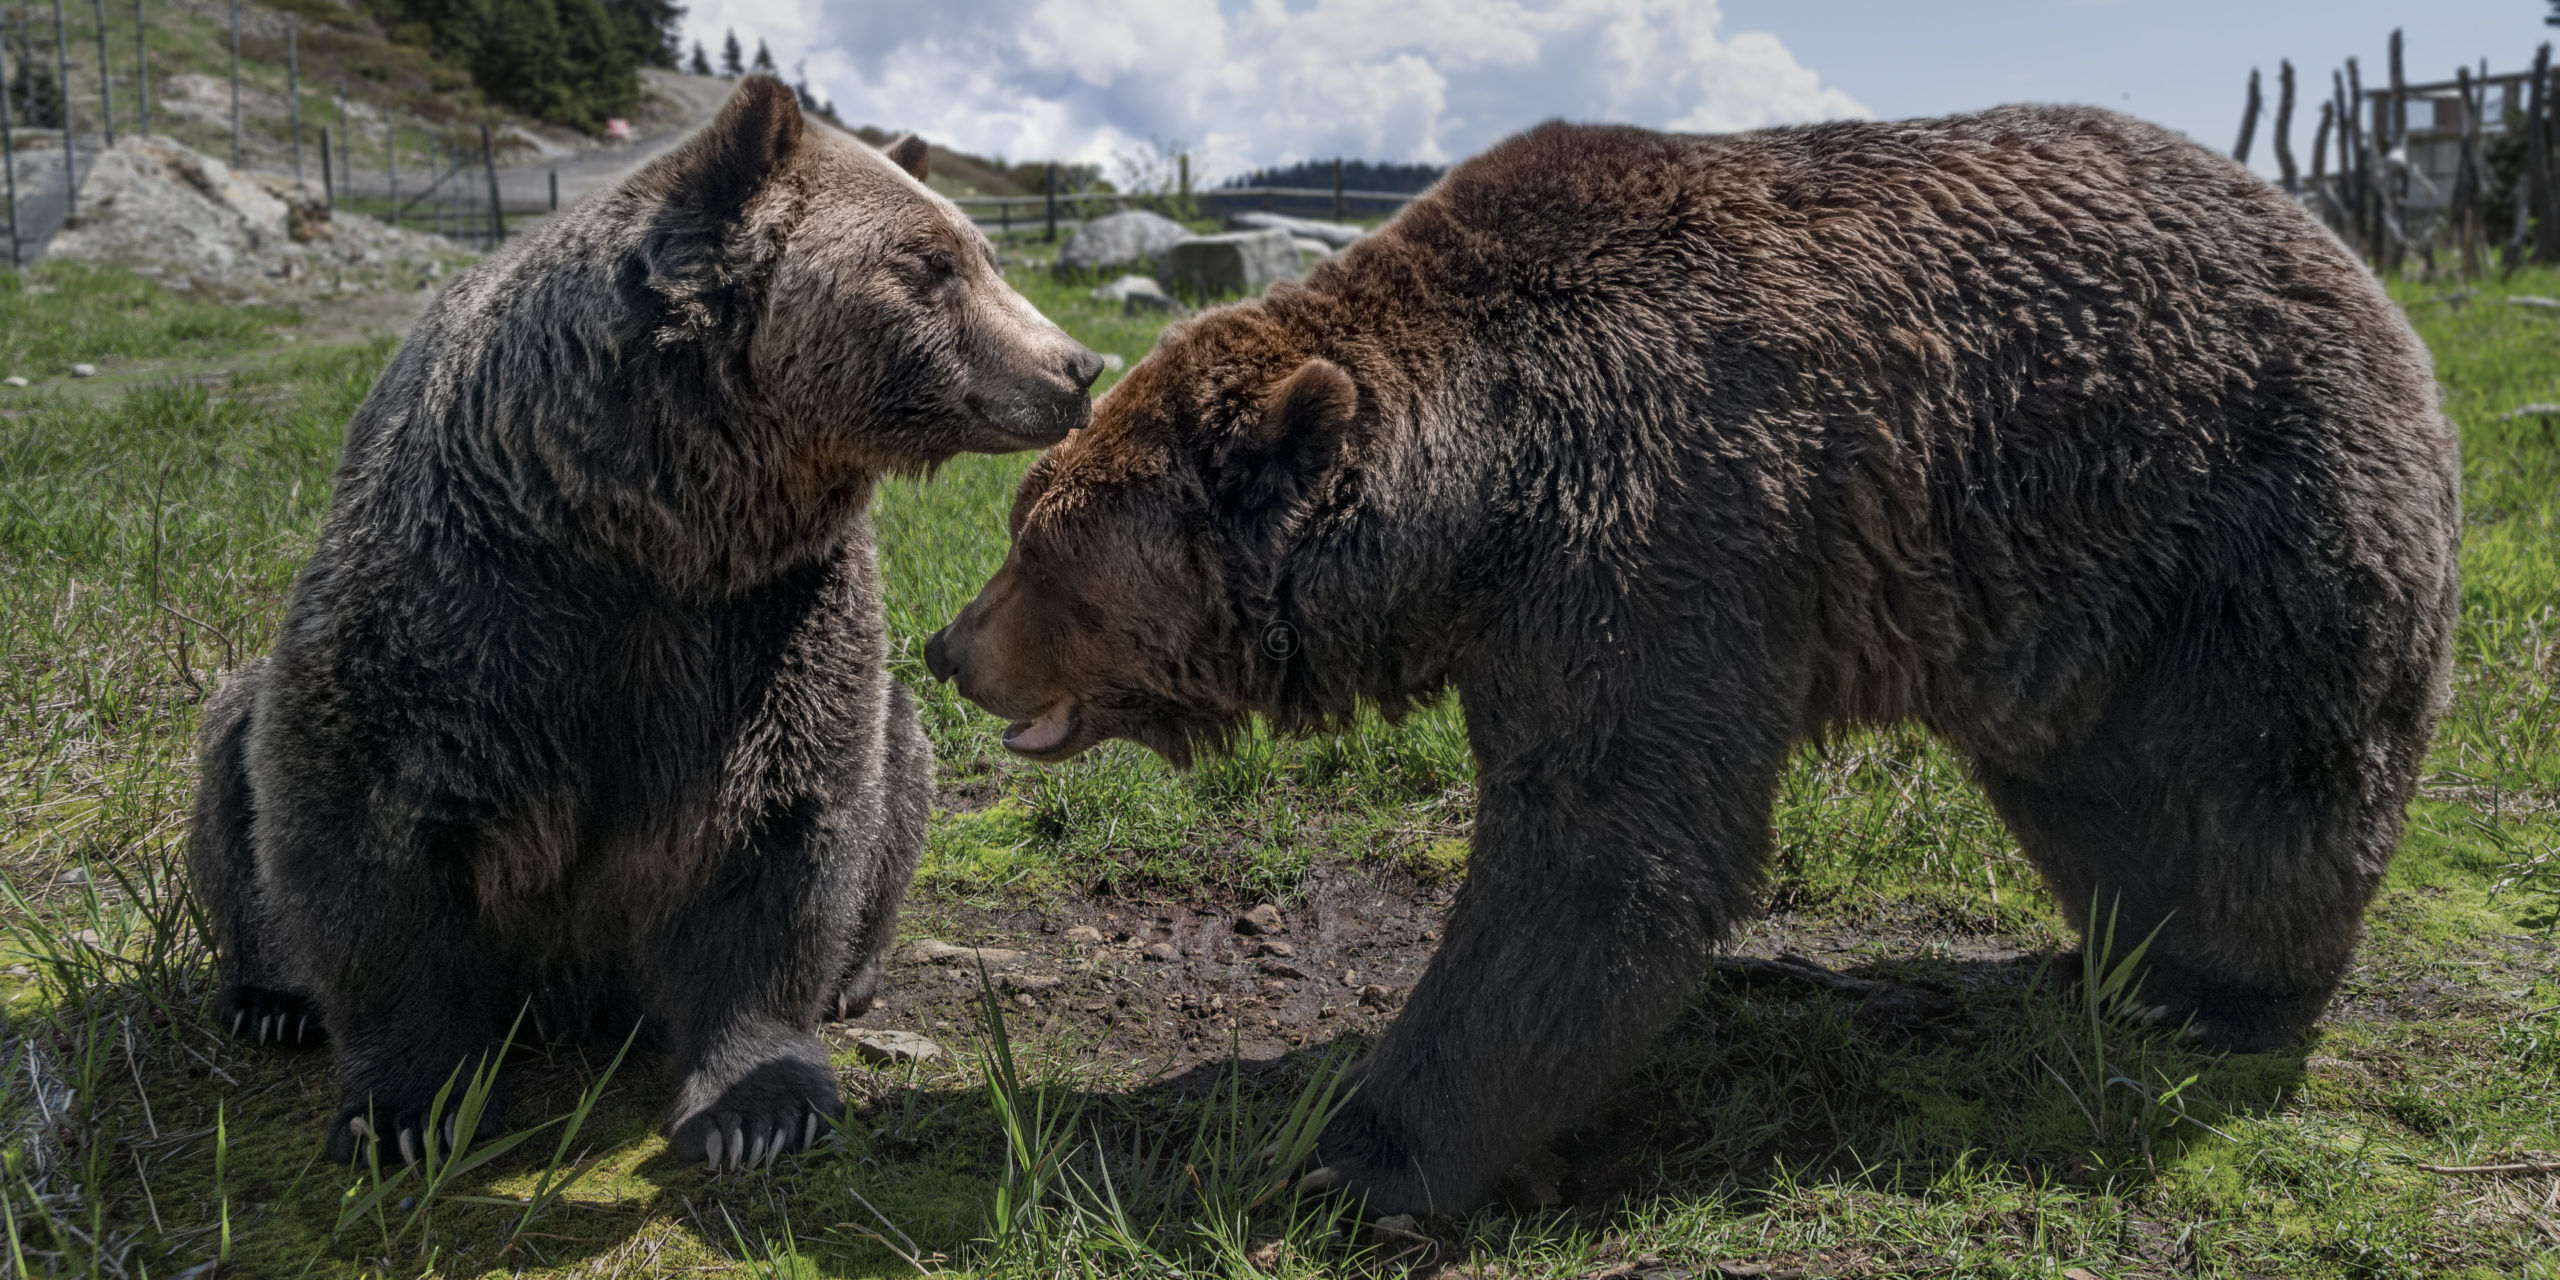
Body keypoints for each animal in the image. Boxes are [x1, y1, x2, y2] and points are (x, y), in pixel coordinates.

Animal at [185, 72, 1095, 1172]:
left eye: (984, 253)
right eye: (931, 264)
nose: (1078, 365)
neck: (644, 522)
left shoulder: (766, 620)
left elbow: (785, 827)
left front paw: (757, 1106)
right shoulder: (471, 603)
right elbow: (366, 821)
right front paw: (410, 1108)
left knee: (902, 760)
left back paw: (851, 977)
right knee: (234, 757)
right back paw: (273, 997)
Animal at [931, 107, 2467, 1208]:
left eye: (1038, 547)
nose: (949, 646)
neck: (1478, 501)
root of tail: (2360, 264)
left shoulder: (1665, 535)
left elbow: (1601, 858)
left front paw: (1361, 1147)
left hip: (2244, 518)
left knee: (2269, 778)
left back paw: (2223, 990)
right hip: (2070, 607)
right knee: (2094, 790)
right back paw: (2115, 957)